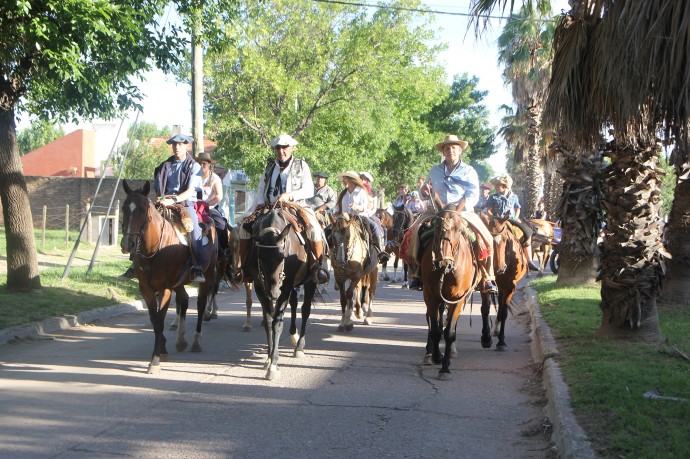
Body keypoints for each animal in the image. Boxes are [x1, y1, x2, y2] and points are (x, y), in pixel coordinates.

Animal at [119, 180, 218, 374]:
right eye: (124, 208)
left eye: (143, 209)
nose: (128, 244)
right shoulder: (146, 289)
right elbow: (154, 320)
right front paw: (162, 348)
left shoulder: (164, 288)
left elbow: (159, 321)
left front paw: (155, 360)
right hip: (178, 283)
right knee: (184, 300)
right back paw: (181, 340)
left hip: (207, 277)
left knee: (201, 305)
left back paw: (196, 342)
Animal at [242, 206, 318, 380]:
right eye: (260, 258)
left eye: (282, 257)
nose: (274, 293)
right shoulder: (260, 287)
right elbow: (269, 321)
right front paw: (269, 359)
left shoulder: (286, 287)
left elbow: (277, 322)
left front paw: (274, 364)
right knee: (294, 303)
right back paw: (293, 335)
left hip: (310, 280)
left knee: (305, 310)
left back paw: (299, 347)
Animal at [416, 203, 482, 380]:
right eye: (437, 226)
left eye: (459, 229)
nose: (443, 263)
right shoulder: (430, 296)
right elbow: (435, 330)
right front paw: (436, 356)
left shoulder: (458, 298)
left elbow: (449, 331)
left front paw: (445, 368)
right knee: (434, 320)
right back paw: (429, 353)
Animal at [478, 213, 528, 352]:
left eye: (506, 239)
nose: (499, 268)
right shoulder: (485, 284)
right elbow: (485, 309)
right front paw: (486, 338)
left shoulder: (510, 286)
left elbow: (504, 311)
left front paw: (501, 342)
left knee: (500, 306)